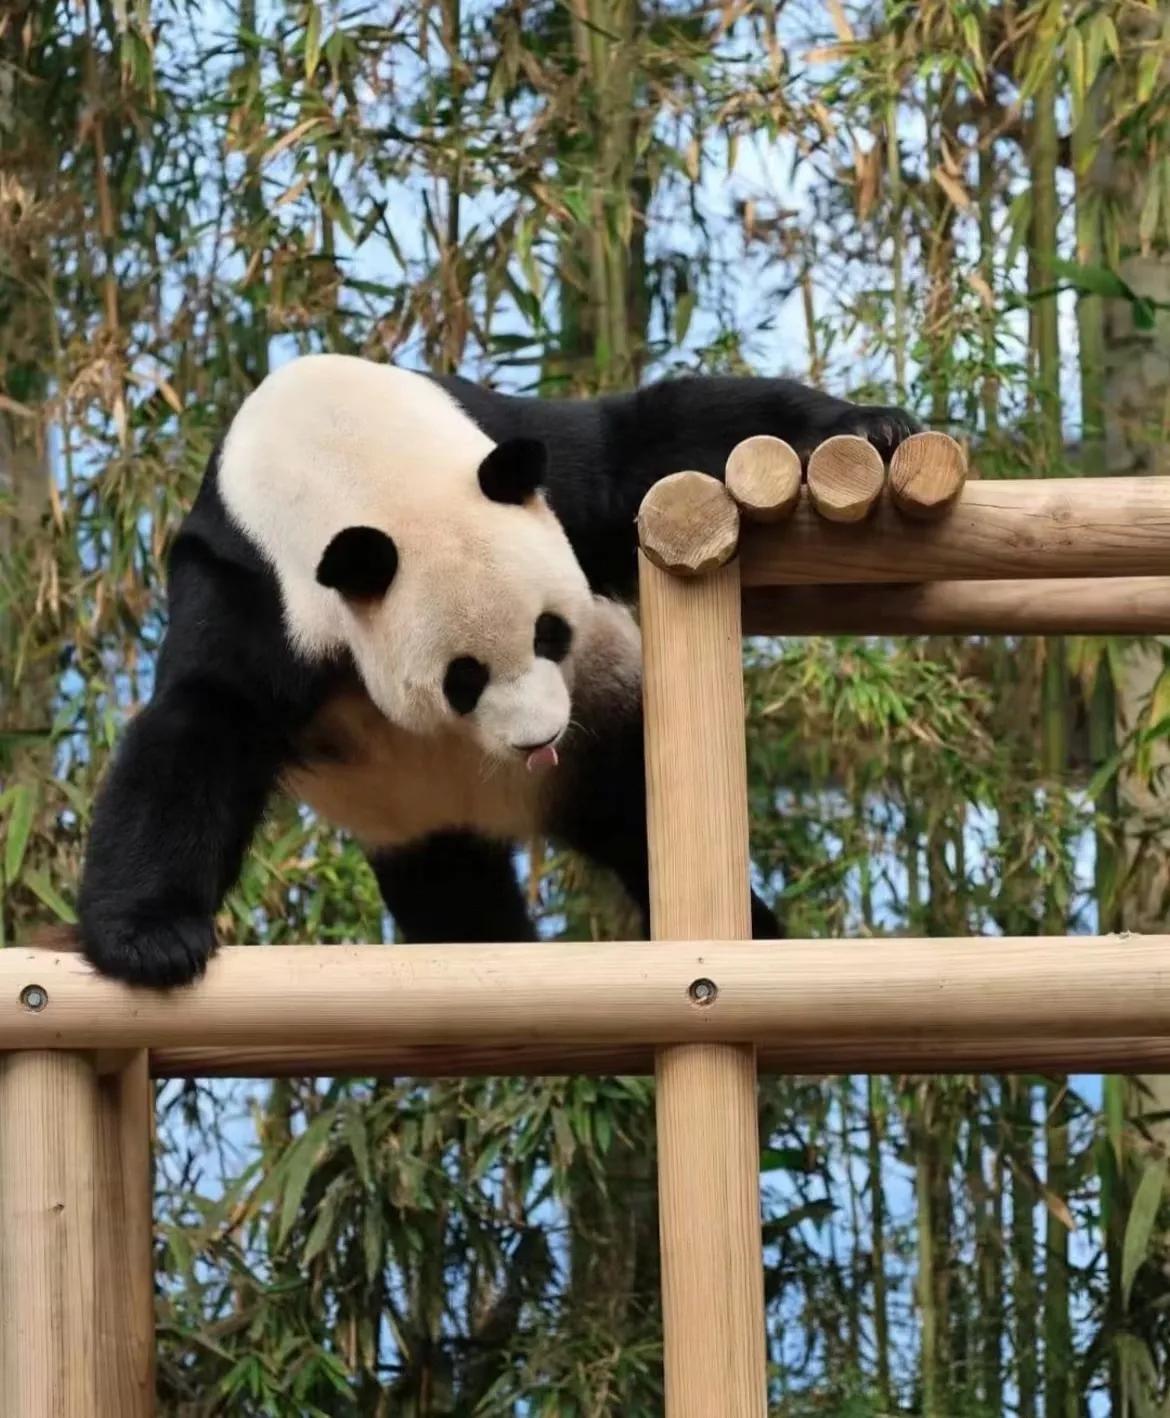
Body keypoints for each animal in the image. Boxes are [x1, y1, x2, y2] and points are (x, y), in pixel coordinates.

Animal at [82, 351, 918, 986]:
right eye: (464, 679)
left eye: (552, 634)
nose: (537, 741)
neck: (346, 458)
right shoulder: (256, 581)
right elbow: (204, 721)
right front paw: (149, 939)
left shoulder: (523, 465)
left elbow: (641, 447)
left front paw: (872, 427)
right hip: (417, 821)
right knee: (454, 891)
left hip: (603, 732)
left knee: (633, 816)